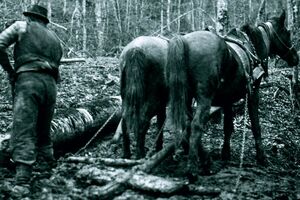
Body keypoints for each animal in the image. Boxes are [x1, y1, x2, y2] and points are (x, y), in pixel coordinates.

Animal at [165, 10, 298, 177]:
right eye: (287, 32)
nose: (296, 58)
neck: (252, 47)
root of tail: (183, 40)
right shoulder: (253, 93)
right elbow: (256, 125)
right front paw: (261, 157)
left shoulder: (227, 100)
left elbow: (228, 126)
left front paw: (226, 153)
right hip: (204, 98)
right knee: (195, 125)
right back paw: (194, 167)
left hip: (186, 97)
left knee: (186, 124)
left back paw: (199, 156)